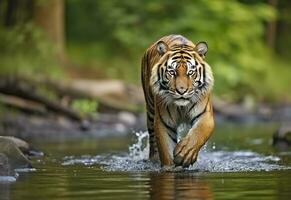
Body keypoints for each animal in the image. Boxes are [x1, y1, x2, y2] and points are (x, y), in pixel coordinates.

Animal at [141, 34, 214, 167]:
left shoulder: (205, 115)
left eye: (190, 72)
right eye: (172, 72)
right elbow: (166, 151)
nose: (181, 91)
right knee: (152, 140)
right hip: (150, 110)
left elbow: (198, 134)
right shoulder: (163, 122)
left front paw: (185, 154)